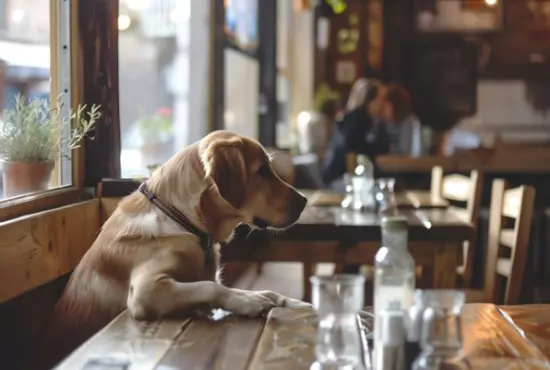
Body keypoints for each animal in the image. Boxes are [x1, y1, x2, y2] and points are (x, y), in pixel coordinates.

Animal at [29, 131, 310, 370]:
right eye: (261, 171)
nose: (304, 201)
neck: (182, 218)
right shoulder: (146, 290)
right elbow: (210, 287)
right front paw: (248, 302)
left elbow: (248, 289)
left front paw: (285, 301)